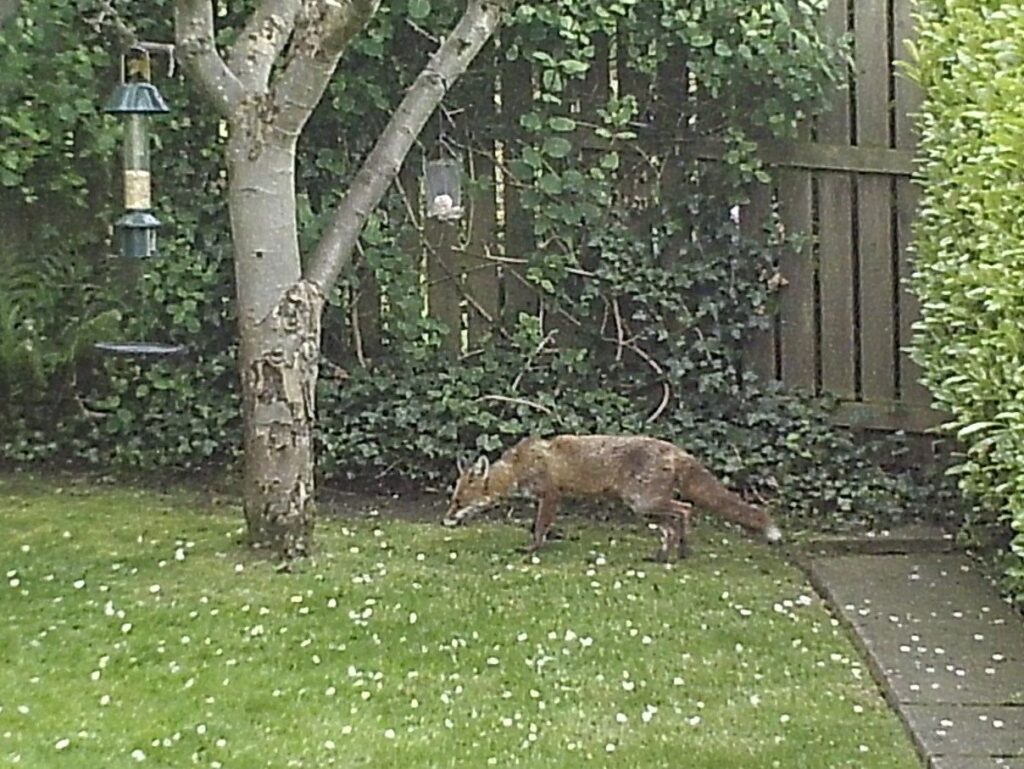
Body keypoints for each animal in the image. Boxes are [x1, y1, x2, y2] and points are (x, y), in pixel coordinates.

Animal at [442, 434, 781, 562]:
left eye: (458, 502)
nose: (445, 520)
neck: (518, 466)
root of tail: (676, 450)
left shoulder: (551, 495)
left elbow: (539, 528)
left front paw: (532, 550)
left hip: (643, 502)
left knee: (684, 510)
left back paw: (673, 554)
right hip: (645, 506)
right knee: (677, 519)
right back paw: (673, 553)